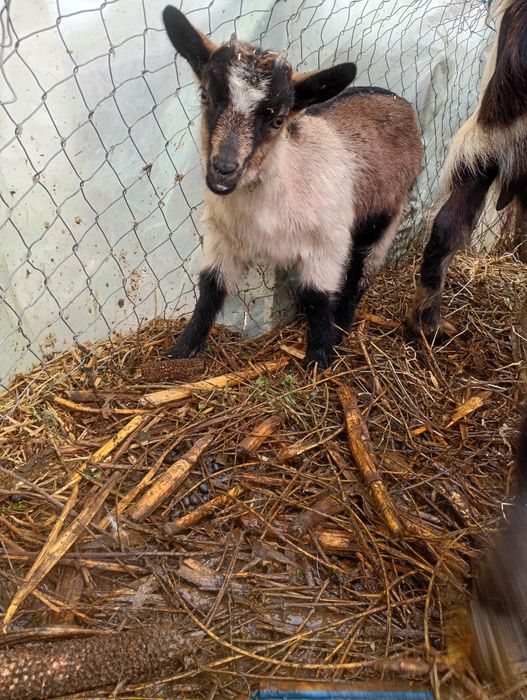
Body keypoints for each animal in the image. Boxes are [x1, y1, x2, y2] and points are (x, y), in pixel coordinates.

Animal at [162, 6, 423, 369]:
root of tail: (396, 98)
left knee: (362, 269)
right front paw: (183, 349)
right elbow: (211, 287)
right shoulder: (224, 237)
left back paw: (342, 325)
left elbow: (318, 295)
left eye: (278, 119)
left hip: (384, 212)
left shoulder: (328, 243)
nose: (223, 172)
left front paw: (320, 357)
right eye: (206, 96)